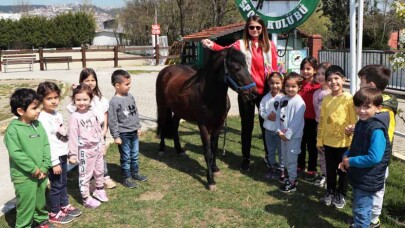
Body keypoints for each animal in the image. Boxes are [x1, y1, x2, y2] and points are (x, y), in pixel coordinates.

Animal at [155, 47, 256, 190]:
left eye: (247, 66)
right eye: (236, 68)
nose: (253, 93)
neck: (207, 94)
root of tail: (166, 71)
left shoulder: (218, 124)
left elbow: (214, 148)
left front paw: (215, 169)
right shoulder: (203, 126)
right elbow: (207, 151)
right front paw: (210, 180)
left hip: (179, 111)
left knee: (174, 125)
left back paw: (179, 150)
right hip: (162, 106)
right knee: (163, 124)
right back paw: (161, 149)